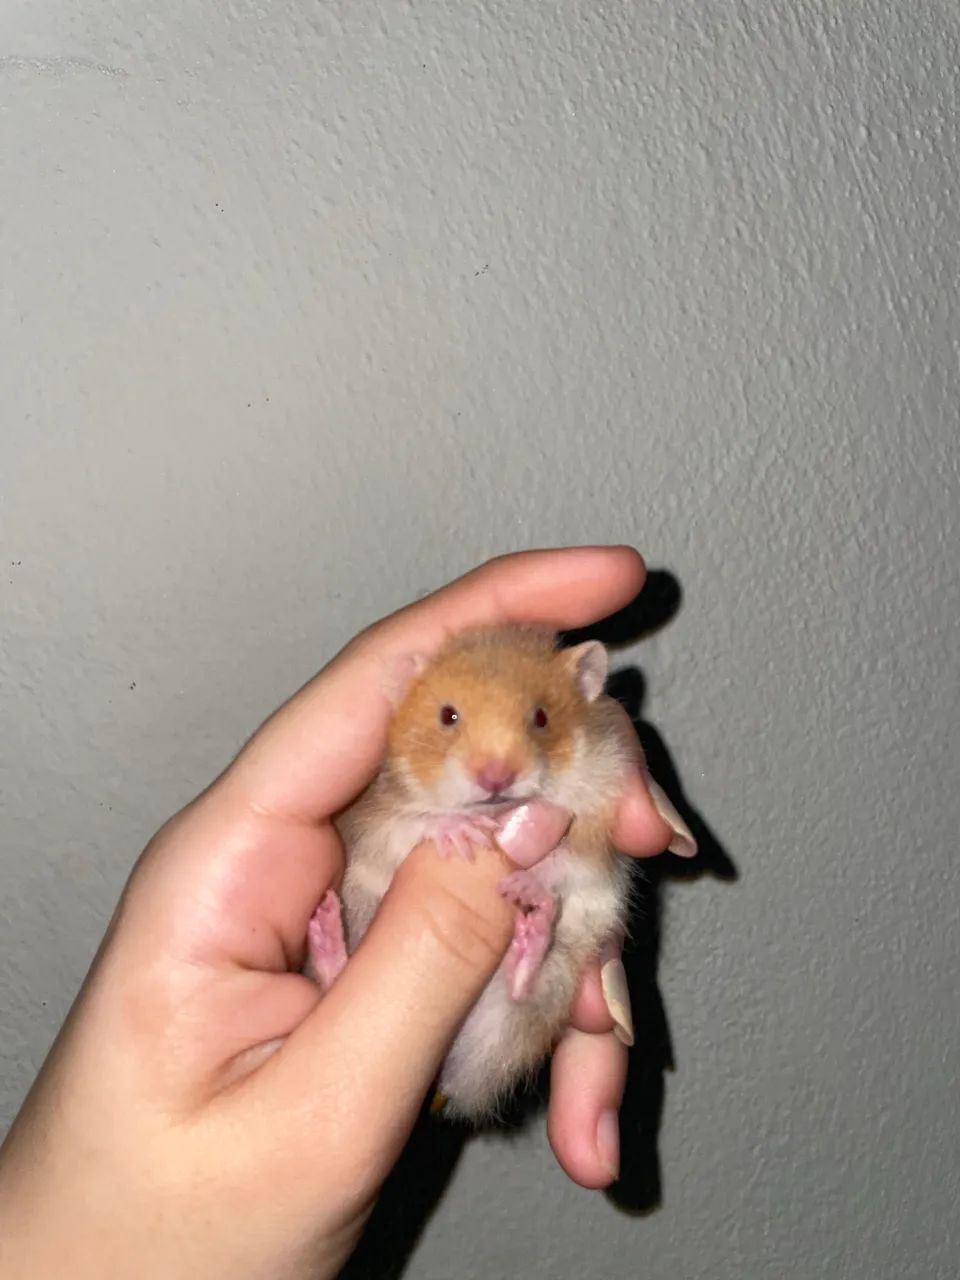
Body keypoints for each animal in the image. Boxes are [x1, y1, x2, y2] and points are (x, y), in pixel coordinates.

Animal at [308, 624, 637, 1122]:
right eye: (449, 716)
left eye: (541, 718)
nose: (496, 777)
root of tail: (436, 1078)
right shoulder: (369, 817)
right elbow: (407, 825)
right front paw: (462, 834)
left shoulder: (598, 828)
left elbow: (567, 862)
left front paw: (522, 881)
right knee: (334, 981)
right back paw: (324, 927)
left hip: (541, 997)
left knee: (520, 992)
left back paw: (534, 924)